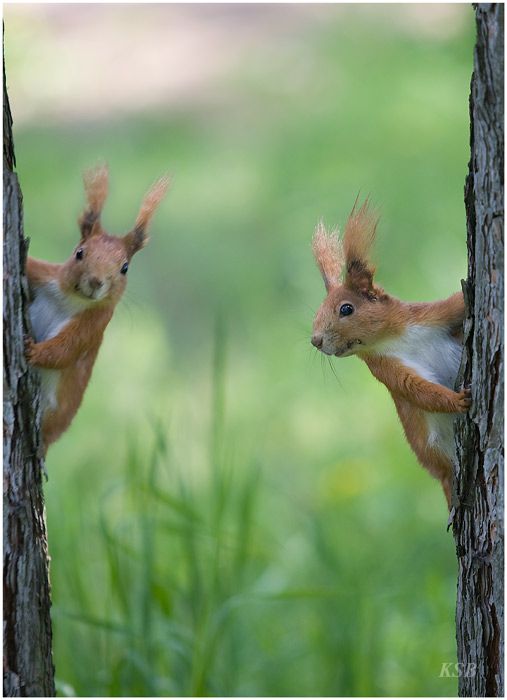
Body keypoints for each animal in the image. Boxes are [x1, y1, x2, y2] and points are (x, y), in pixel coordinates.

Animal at [25, 167, 170, 456]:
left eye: (125, 267)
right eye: (79, 253)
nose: (95, 282)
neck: (71, 300)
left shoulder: (94, 324)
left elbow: (65, 350)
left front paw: (33, 351)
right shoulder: (46, 275)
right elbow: (31, 265)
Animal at [310, 198, 472, 508]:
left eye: (346, 308)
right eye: (316, 312)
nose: (315, 340)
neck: (395, 338)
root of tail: (440, 474)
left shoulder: (430, 315)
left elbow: (456, 304)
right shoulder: (385, 367)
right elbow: (417, 390)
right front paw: (457, 401)